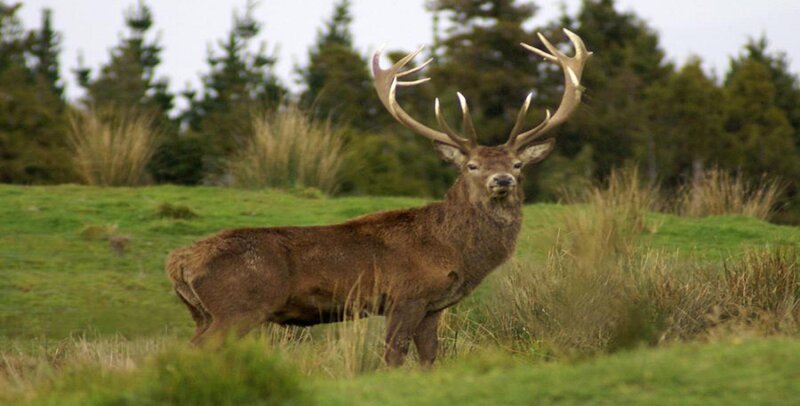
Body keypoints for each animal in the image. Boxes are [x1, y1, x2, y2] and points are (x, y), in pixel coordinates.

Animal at [166, 29, 591, 367]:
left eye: (518, 164)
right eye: (471, 165)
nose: (501, 180)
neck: (454, 251)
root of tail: (178, 262)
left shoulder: (433, 307)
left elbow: (430, 357)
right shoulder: (406, 295)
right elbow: (393, 355)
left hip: (202, 313)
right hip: (236, 308)